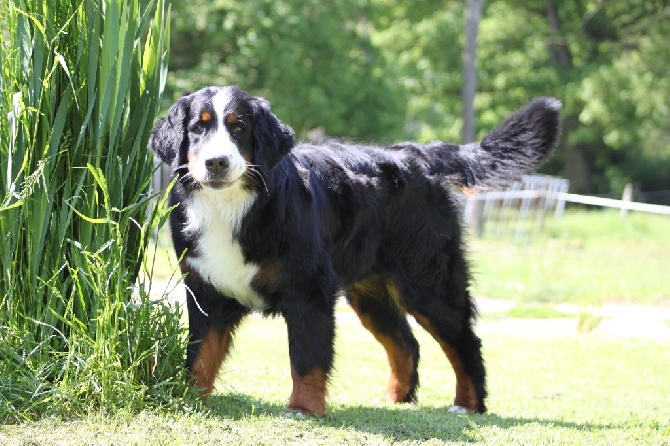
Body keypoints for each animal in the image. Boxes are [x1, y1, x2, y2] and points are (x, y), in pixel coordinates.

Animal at [150, 85, 564, 416]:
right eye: (198, 127)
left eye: (239, 127)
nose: (216, 162)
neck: (232, 208)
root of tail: (417, 155)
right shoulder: (206, 290)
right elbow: (200, 354)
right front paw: (191, 399)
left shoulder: (309, 290)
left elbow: (307, 357)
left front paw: (304, 409)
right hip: (371, 293)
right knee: (406, 344)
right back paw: (395, 400)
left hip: (428, 284)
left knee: (465, 342)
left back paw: (467, 405)